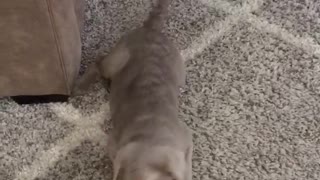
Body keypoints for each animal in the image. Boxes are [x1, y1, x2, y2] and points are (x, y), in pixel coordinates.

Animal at [73, 0, 192, 179]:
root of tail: (150, 28)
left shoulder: (185, 140)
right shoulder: (115, 145)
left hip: (178, 71)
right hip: (117, 59)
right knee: (98, 62)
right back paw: (82, 85)